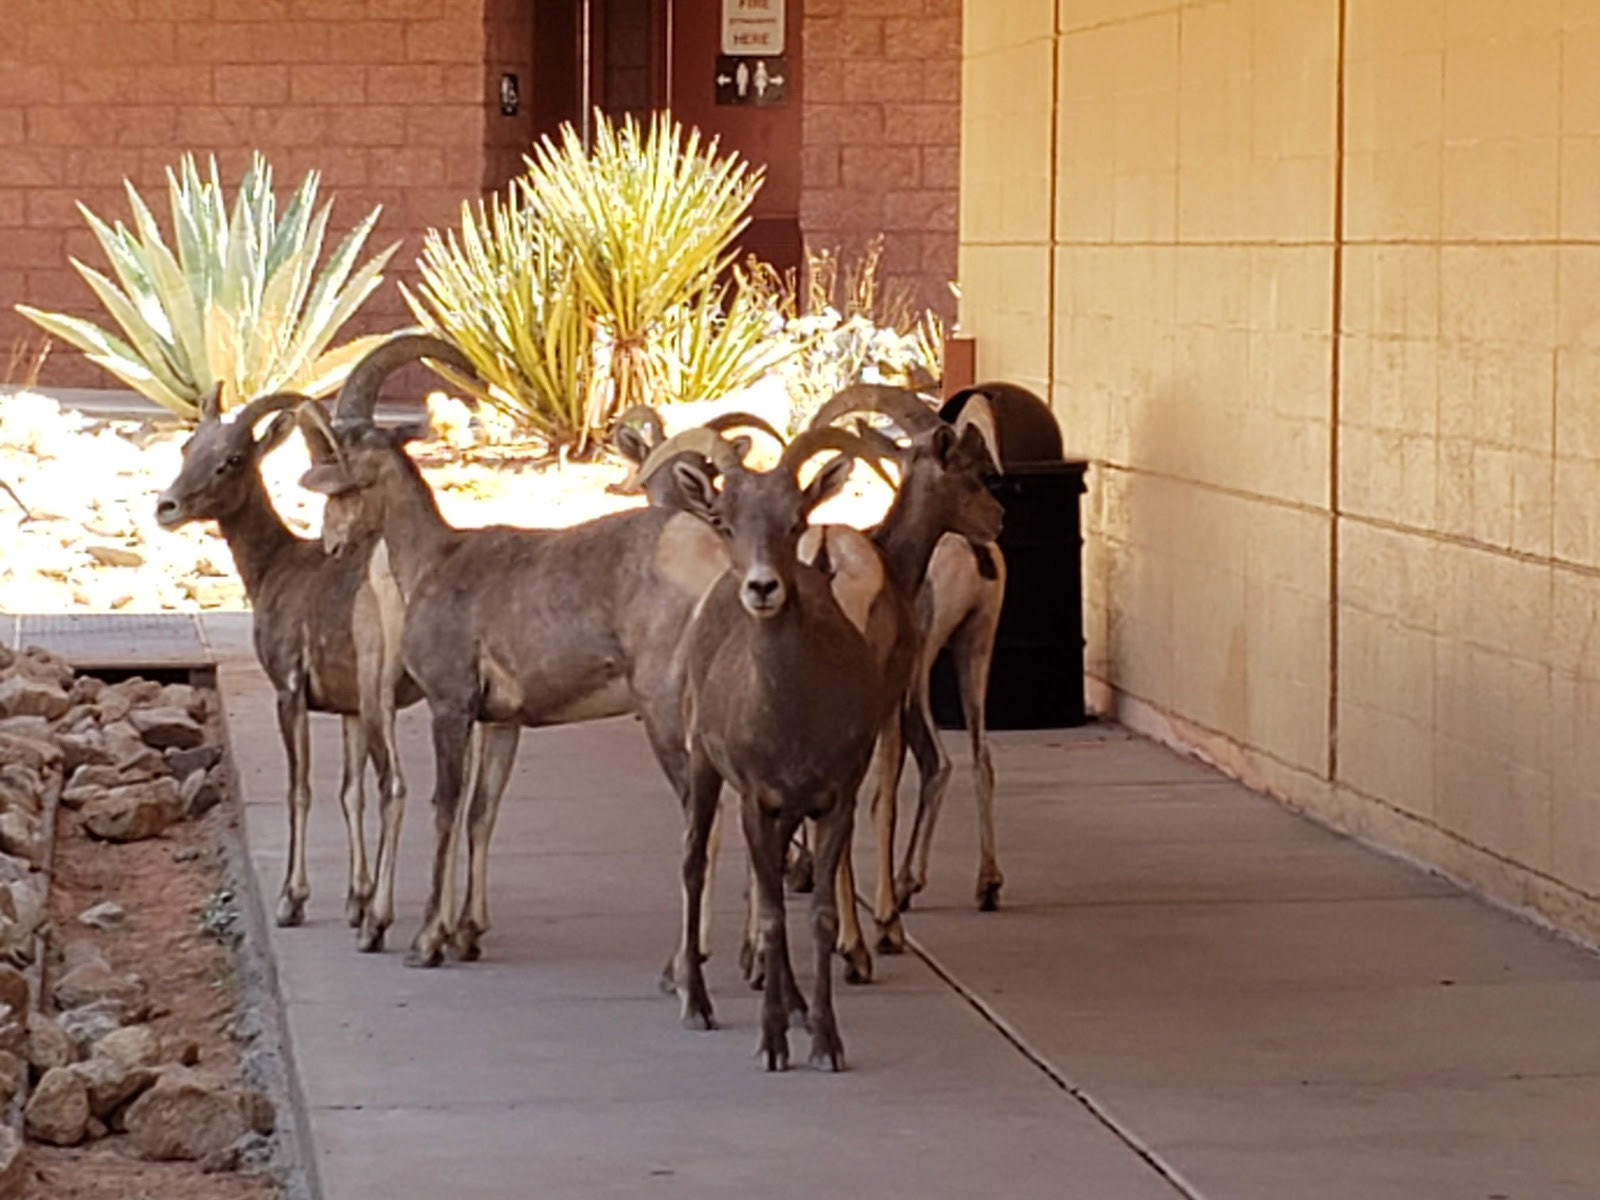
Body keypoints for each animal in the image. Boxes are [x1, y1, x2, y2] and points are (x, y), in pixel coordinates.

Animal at [155, 387, 416, 941]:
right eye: (189, 448)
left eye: (232, 460)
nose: (166, 507)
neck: (276, 568)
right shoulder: (348, 710)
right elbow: (350, 793)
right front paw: (354, 901)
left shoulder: (290, 693)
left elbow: (300, 790)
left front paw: (291, 902)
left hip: (385, 702)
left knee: (398, 788)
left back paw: (381, 926)